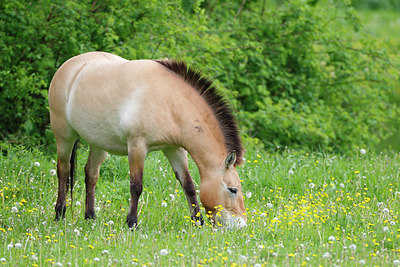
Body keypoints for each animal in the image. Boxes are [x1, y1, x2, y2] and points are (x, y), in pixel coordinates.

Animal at [47, 51, 247, 229]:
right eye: (233, 190)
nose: (241, 225)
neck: (169, 102)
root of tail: (69, 66)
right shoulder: (137, 146)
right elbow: (136, 186)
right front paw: (132, 223)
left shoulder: (174, 149)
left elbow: (188, 184)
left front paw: (198, 222)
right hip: (64, 136)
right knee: (63, 171)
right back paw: (59, 214)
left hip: (98, 143)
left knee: (91, 174)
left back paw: (90, 217)